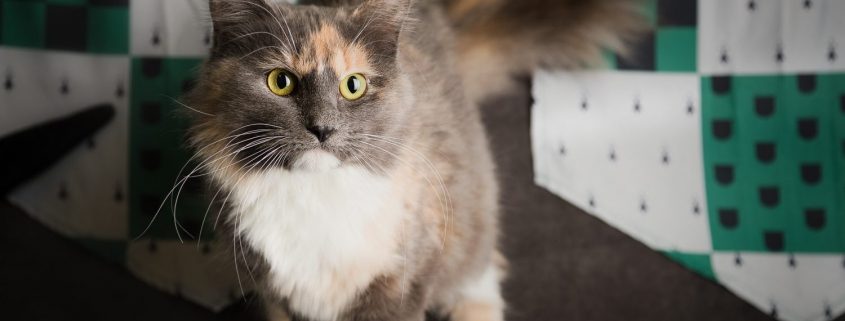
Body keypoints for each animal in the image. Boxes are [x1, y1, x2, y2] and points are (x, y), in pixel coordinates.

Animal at [185, 1, 644, 318]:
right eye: (280, 82)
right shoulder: (276, 292)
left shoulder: (402, 281)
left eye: (353, 86)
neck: (315, 197)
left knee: (483, 281)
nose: (322, 128)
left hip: (467, 236)